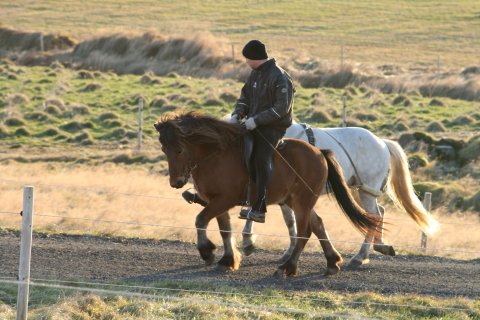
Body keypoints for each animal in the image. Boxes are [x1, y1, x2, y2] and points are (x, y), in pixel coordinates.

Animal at [155, 112, 378, 278]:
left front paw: (207, 251)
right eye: (164, 149)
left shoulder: (224, 200)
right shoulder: (215, 201)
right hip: (298, 201)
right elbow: (225, 229)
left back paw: (288, 267)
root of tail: (319, 153)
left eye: (180, 150)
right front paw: (227, 260)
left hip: (302, 202)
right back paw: (332, 262)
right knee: (318, 225)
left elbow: (200, 219)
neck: (216, 155)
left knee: (305, 231)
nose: (176, 182)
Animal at [184, 120, 438, 268]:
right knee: (378, 212)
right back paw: (378, 247)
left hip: (366, 190)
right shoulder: (285, 198)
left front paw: (248, 242)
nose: (193, 193)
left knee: (373, 215)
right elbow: (290, 223)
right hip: (358, 190)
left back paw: (360, 256)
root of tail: (383, 142)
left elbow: (260, 214)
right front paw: (286, 253)